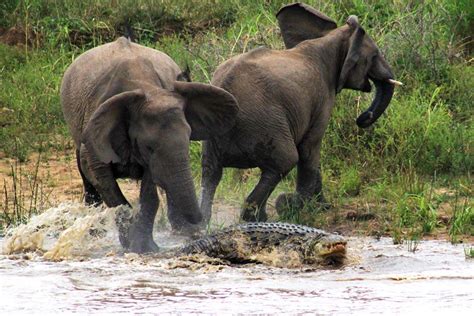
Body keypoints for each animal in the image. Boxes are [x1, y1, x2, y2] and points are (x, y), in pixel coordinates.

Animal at [61, 37, 239, 254]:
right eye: (149, 147)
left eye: (189, 140)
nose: (199, 228)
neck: (147, 88)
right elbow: (99, 174)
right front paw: (131, 246)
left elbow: (151, 192)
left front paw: (145, 248)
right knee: (87, 178)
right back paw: (95, 235)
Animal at [198, 3, 402, 225]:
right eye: (374, 56)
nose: (363, 117)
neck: (331, 38)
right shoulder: (323, 96)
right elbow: (310, 148)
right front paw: (302, 207)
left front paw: (322, 206)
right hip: (263, 123)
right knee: (285, 161)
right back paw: (262, 215)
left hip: (216, 134)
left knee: (211, 173)